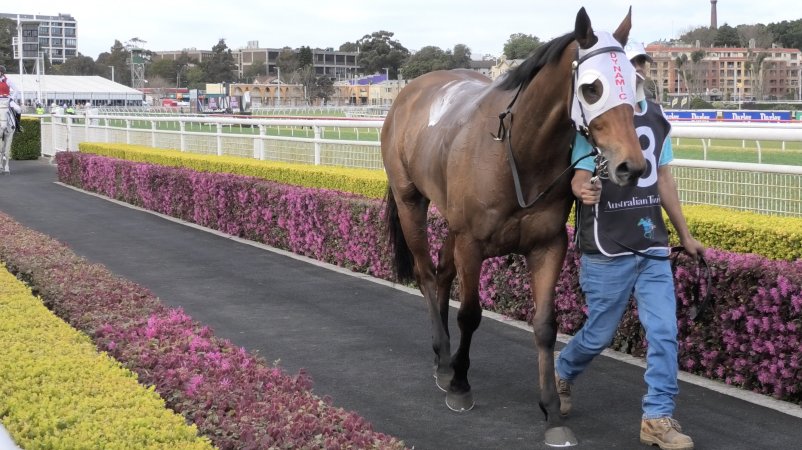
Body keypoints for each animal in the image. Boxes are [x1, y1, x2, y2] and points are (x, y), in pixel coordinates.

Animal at [380, 7, 644, 446]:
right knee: (425, 273)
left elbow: (545, 326)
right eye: (592, 88)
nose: (632, 166)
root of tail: (409, 91)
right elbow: (471, 314)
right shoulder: (472, 242)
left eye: (635, 82)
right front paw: (460, 385)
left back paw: (443, 355)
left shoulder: (547, 245)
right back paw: (444, 361)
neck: (520, 150)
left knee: (442, 273)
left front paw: (552, 411)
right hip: (410, 201)